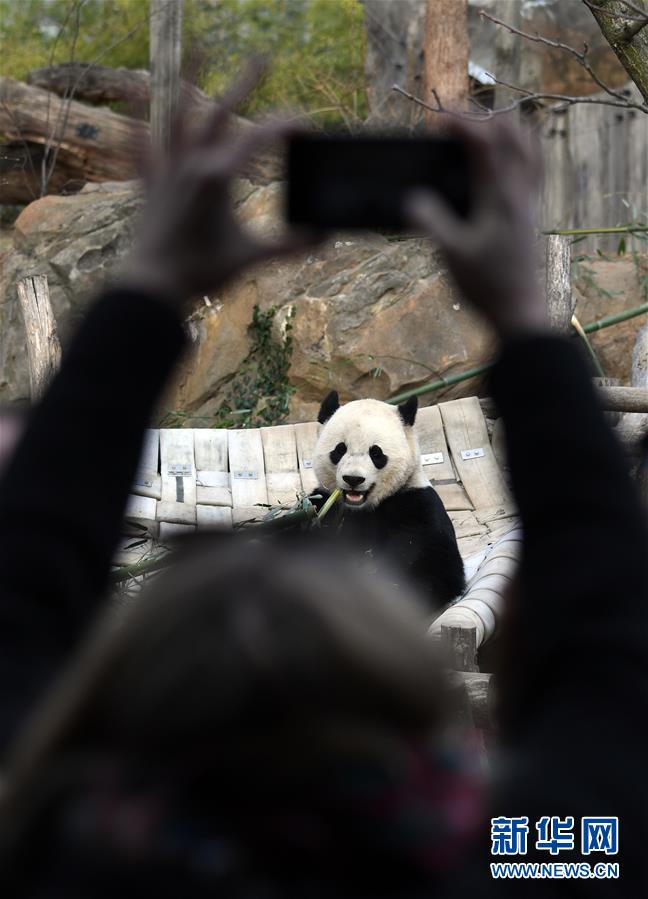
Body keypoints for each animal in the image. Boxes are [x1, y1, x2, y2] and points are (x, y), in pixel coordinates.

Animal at [314, 388, 466, 608]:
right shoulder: (324, 504)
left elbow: (436, 562)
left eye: (376, 453)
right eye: (340, 449)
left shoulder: (415, 502)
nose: (353, 479)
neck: (362, 508)